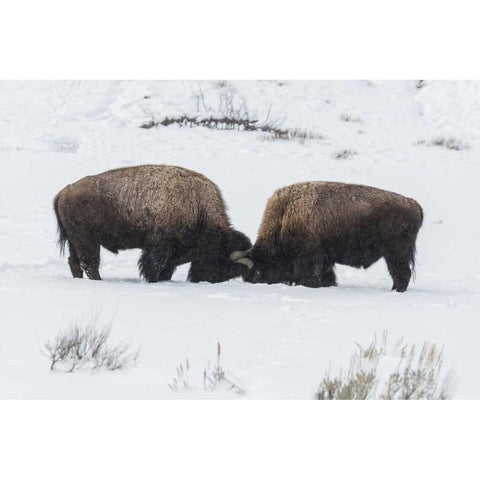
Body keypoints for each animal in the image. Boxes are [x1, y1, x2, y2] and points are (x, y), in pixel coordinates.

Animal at [53, 166, 251, 284]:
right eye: (220, 262)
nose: (199, 279)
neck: (198, 209)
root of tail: (64, 191)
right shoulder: (158, 247)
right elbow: (153, 266)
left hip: (75, 241)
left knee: (75, 262)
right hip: (87, 240)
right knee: (90, 263)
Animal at [232, 181, 424, 290]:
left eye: (258, 270)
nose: (253, 281)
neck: (285, 216)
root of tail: (414, 204)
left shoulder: (310, 257)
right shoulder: (325, 259)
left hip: (396, 253)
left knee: (401, 273)